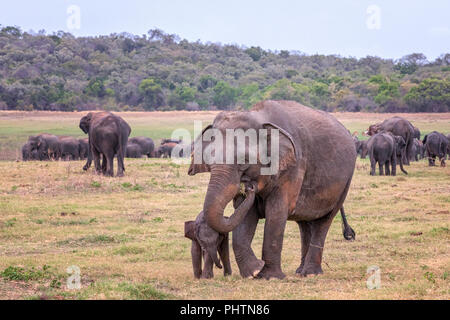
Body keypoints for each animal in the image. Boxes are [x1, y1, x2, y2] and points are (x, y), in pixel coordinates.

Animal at [186, 101, 356, 278]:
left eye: (245, 160)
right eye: (208, 159)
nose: (248, 186)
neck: (258, 116)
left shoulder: (293, 166)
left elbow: (276, 212)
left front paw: (269, 276)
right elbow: (244, 215)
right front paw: (253, 272)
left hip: (345, 181)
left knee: (323, 222)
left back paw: (310, 273)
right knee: (303, 223)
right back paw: (300, 272)